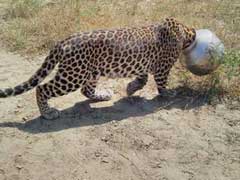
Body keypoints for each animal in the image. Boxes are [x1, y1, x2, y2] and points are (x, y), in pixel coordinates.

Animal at [0, 17, 196, 120]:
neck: (185, 31)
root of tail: (63, 41)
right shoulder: (163, 67)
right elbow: (161, 83)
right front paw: (168, 93)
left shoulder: (144, 63)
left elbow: (142, 77)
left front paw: (131, 88)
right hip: (73, 75)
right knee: (42, 88)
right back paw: (48, 113)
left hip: (91, 72)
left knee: (86, 90)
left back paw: (103, 95)